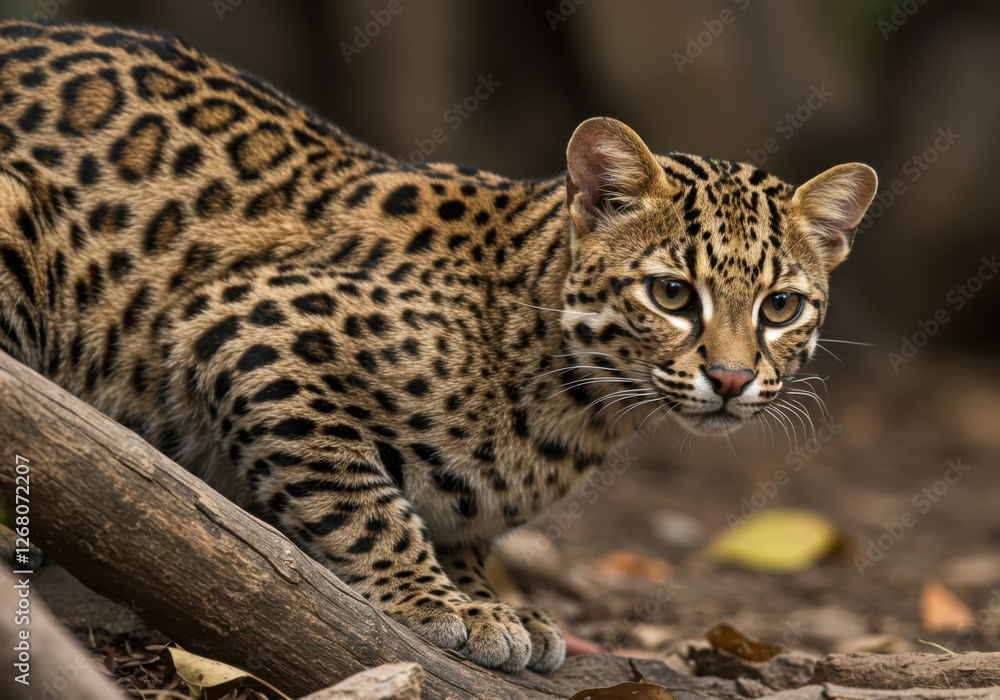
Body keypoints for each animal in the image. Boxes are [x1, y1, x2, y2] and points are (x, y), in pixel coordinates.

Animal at [0, 19, 876, 674]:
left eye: (780, 307)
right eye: (670, 295)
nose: (730, 379)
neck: (578, 411)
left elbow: (457, 524)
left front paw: (487, 597)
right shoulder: (247, 326)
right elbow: (359, 500)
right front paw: (440, 602)